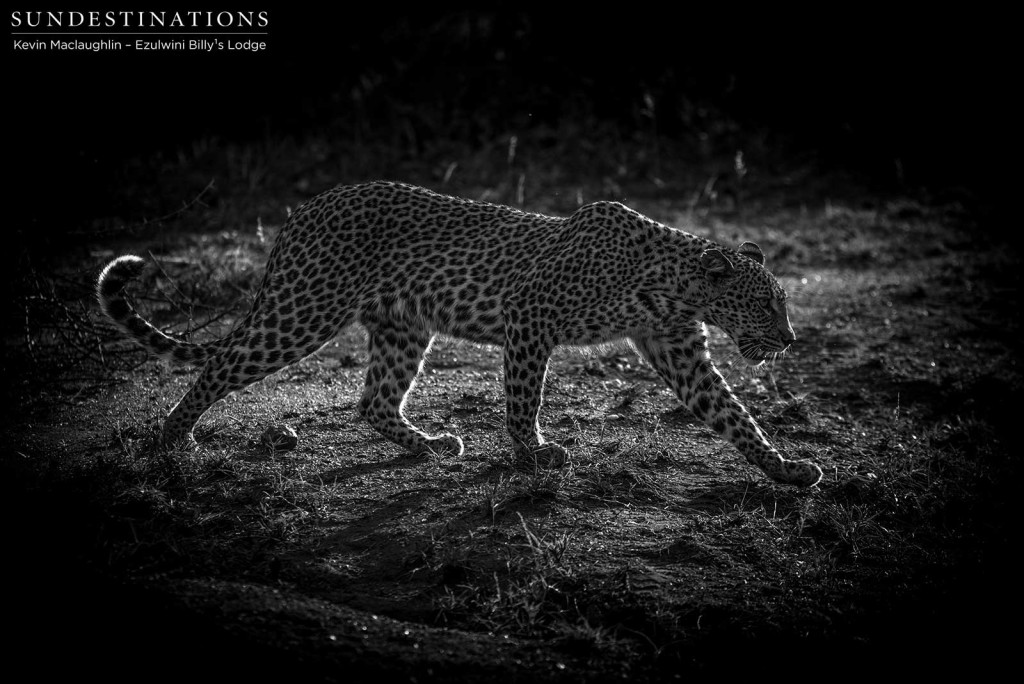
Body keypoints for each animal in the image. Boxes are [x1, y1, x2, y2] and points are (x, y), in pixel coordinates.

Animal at [97, 179, 823, 483]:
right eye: (767, 306)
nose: (789, 341)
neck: (672, 284)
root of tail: (303, 210)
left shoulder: (678, 351)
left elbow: (732, 415)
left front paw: (785, 469)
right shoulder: (531, 319)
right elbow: (524, 398)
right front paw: (535, 453)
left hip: (401, 326)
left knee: (375, 399)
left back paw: (429, 444)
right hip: (304, 310)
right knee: (218, 366)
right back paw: (172, 439)